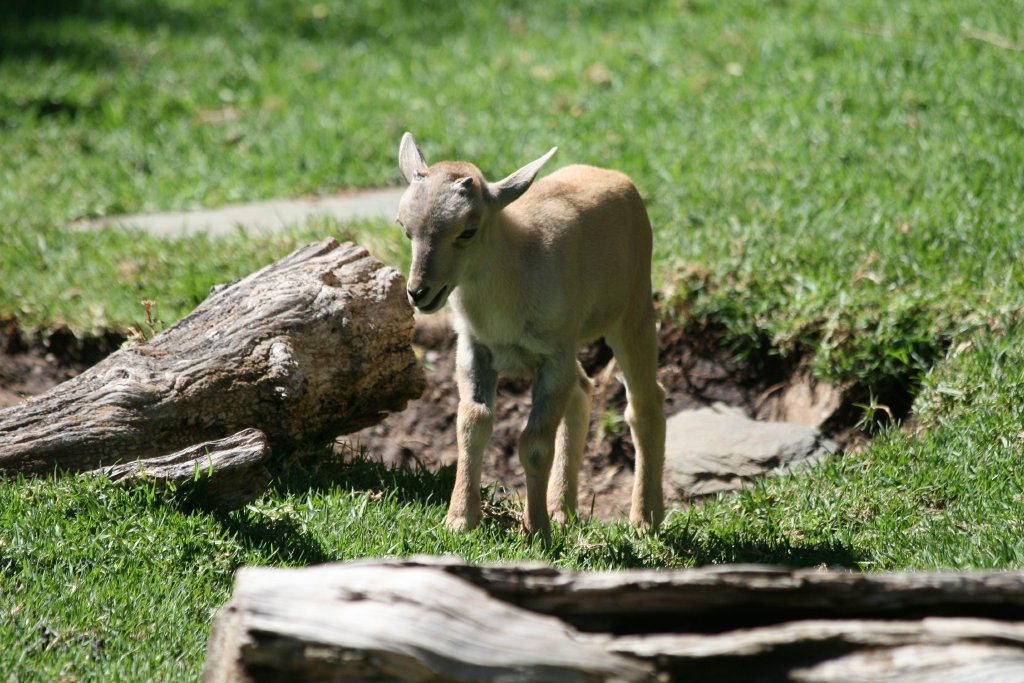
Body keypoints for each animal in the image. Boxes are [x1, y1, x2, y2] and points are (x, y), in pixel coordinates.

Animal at [396, 133, 665, 537]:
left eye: (468, 230)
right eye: (404, 227)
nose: (418, 292)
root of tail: (615, 176)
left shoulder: (552, 355)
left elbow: (535, 444)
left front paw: (536, 529)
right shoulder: (474, 349)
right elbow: (472, 424)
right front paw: (460, 519)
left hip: (633, 308)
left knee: (645, 403)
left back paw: (646, 518)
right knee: (582, 388)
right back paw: (562, 508)